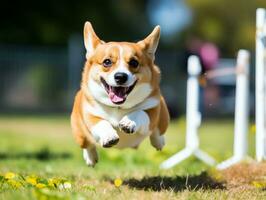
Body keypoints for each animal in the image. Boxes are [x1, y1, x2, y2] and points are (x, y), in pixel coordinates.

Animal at [70, 21, 169, 166]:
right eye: (107, 62)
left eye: (134, 62)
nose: (120, 77)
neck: (118, 107)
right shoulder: (90, 115)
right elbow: (101, 122)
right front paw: (109, 136)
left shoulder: (153, 110)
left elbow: (141, 113)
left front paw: (128, 122)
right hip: (79, 133)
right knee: (86, 143)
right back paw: (91, 157)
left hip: (163, 117)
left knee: (158, 132)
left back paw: (159, 141)